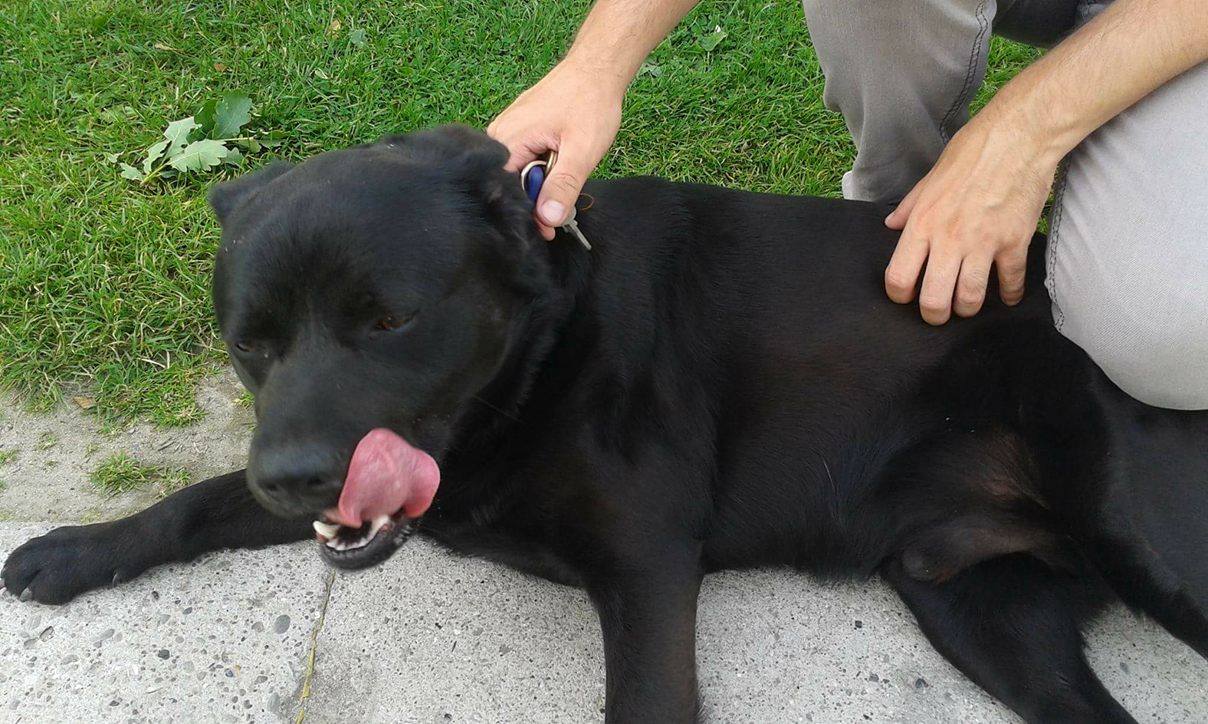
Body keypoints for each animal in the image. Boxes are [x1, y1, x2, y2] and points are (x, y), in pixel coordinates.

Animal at [4, 125, 1206, 722]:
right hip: (973, 603)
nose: (296, 477)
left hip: (1141, 544)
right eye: (250, 340)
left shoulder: (645, 565)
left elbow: (647, 697)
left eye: (389, 319)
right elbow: (200, 496)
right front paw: (75, 550)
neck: (541, 357)